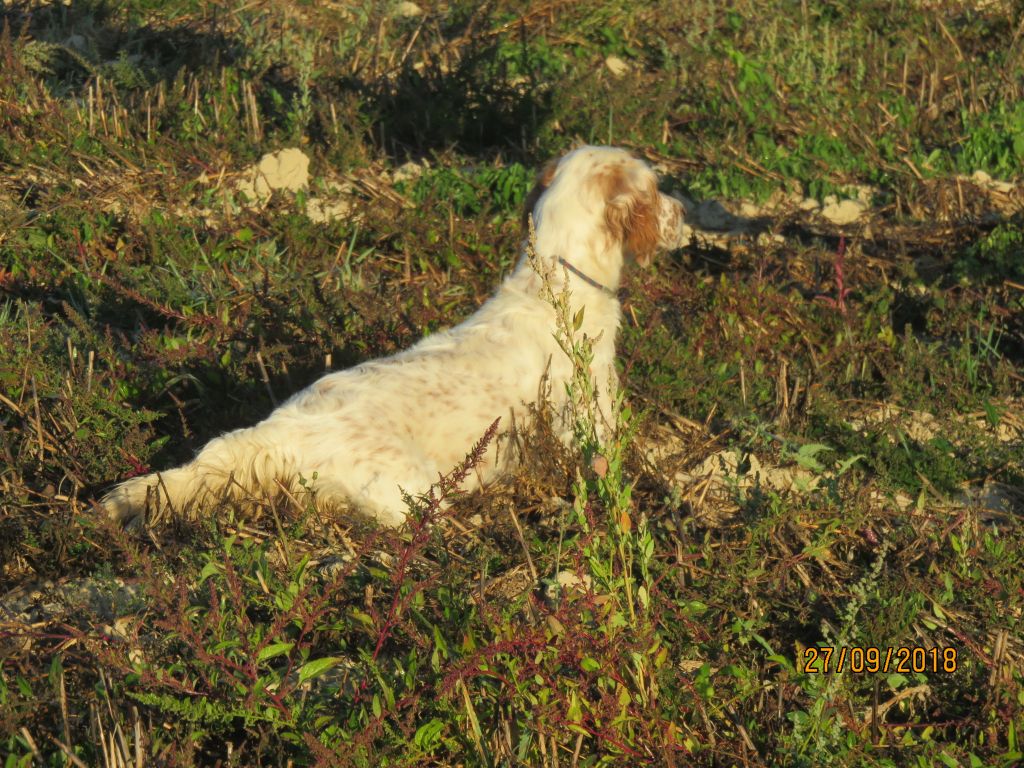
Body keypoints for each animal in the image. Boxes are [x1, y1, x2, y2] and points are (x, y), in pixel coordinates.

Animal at [101, 145, 688, 528]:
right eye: (657, 189)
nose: (684, 213)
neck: (556, 281)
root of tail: (276, 431)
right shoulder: (594, 434)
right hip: (418, 496)